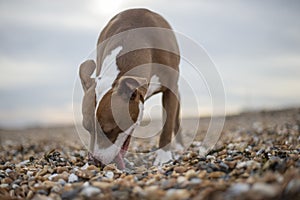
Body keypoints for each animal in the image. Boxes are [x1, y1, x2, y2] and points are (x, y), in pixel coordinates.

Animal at [79, 9, 183, 169]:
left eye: (110, 130)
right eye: (87, 128)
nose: (94, 162)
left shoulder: (171, 89)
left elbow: (168, 124)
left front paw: (163, 157)